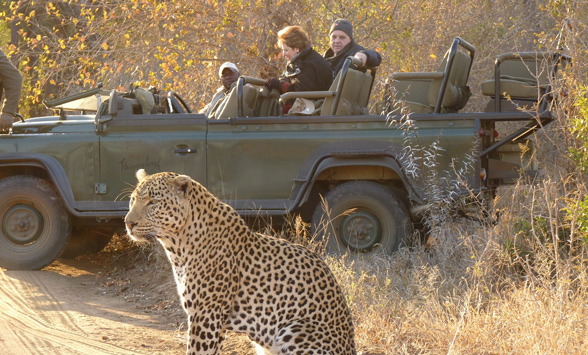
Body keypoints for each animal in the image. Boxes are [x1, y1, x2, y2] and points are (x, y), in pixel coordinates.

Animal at [123, 170, 358, 355]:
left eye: (153, 202)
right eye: (133, 200)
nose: (128, 223)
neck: (178, 247)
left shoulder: (206, 314)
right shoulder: (212, 320)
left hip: (295, 329)